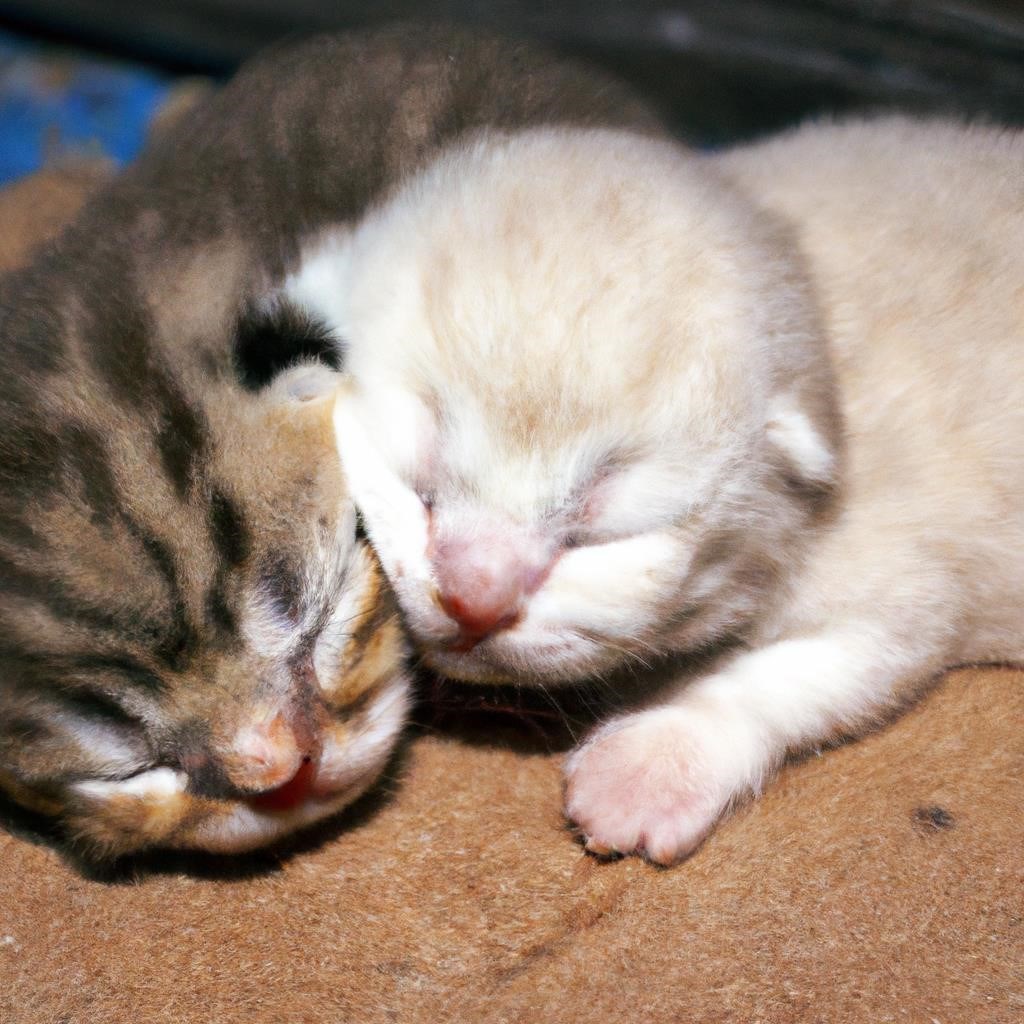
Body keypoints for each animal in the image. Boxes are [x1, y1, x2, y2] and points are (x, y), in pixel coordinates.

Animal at [284, 119, 1024, 864]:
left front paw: (651, 767)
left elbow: (793, 676)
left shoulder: (910, 579)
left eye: (596, 537)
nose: (474, 601)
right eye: (422, 489)